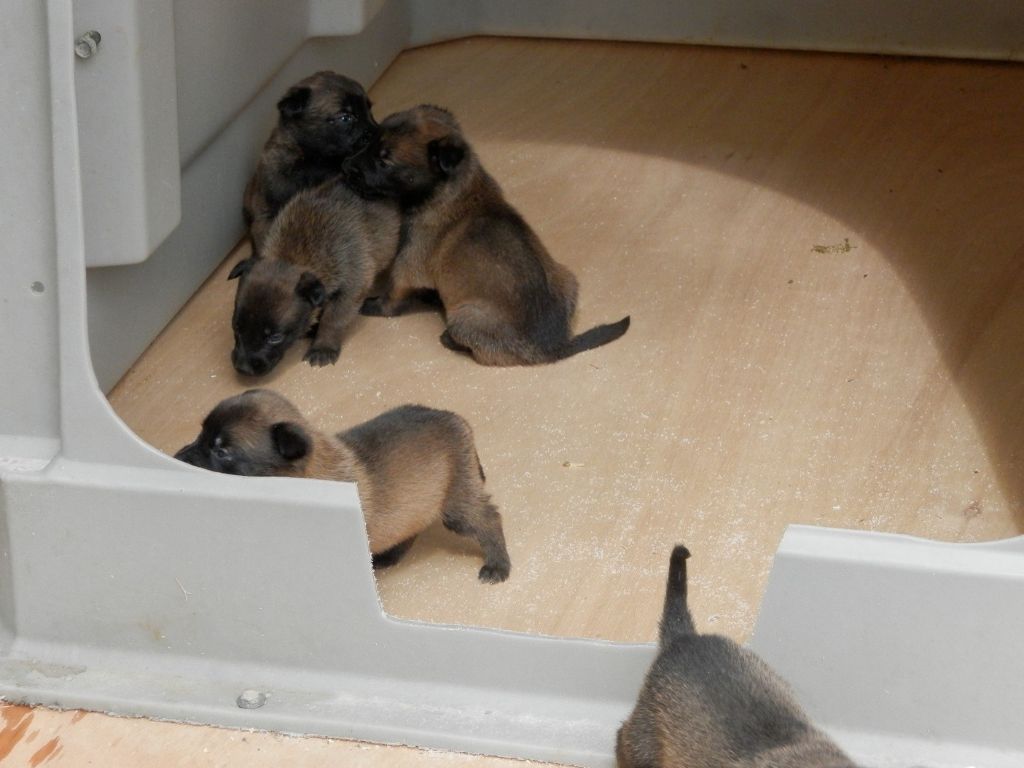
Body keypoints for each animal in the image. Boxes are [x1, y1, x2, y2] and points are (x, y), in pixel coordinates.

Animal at [175, 389, 511, 582]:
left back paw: (498, 564)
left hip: (458, 502)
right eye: (201, 434)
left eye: (222, 451)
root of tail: (455, 418)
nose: (177, 457)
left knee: (488, 518)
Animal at [229, 176, 401, 374]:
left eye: (275, 337)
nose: (243, 369)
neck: (293, 255)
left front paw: (323, 347)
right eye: (236, 327)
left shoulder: (352, 288)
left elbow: (333, 320)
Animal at [342, 105, 630, 366]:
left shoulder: (408, 263)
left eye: (384, 160)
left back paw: (449, 339)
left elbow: (393, 296)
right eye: (371, 141)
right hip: (568, 277)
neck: (455, 187)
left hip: (465, 316)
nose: (347, 167)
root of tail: (552, 348)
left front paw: (374, 305)